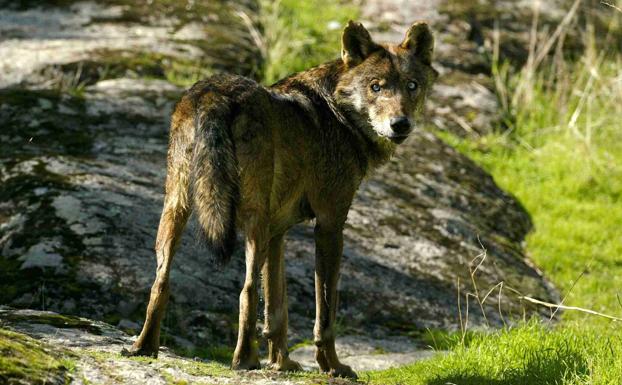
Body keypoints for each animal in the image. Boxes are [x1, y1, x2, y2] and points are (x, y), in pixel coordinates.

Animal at [123, 21, 438, 378]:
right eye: (376, 87)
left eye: (411, 86)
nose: (400, 124)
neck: (338, 113)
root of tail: (213, 93)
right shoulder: (330, 225)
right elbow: (325, 311)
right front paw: (332, 366)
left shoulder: (278, 233)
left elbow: (277, 310)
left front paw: (281, 363)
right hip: (253, 221)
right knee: (246, 289)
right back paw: (244, 360)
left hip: (177, 208)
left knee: (161, 281)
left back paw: (144, 347)